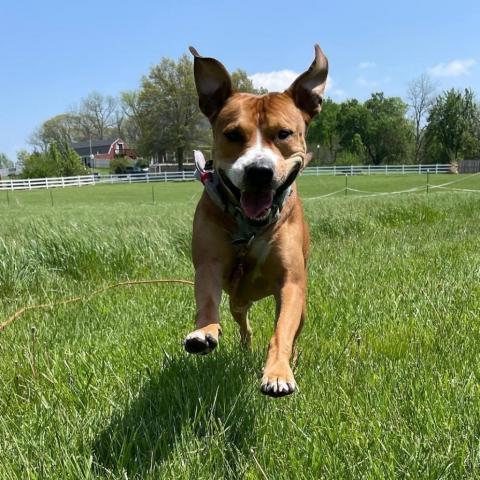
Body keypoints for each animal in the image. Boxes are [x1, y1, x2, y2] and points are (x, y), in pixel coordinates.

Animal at [186, 45, 328, 398]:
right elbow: (206, 300)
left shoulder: (291, 283)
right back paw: (243, 345)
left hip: (300, 308)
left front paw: (278, 372)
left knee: (292, 330)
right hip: (238, 301)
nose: (259, 171)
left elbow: (281, 332)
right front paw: (203, 331)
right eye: (232, 134)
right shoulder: (209, 263)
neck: (250, 226)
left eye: (284, 134)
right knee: (243, 323)